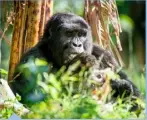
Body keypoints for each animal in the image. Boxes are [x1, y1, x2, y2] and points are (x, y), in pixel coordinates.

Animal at [9, 12, 140, 103]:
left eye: (81, 34)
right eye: (69, 33)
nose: (77, 44)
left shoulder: (105, 55)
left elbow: (135, 98)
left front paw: (120, 85)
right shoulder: (32, 58)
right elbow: (33, 95)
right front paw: (81, 63)